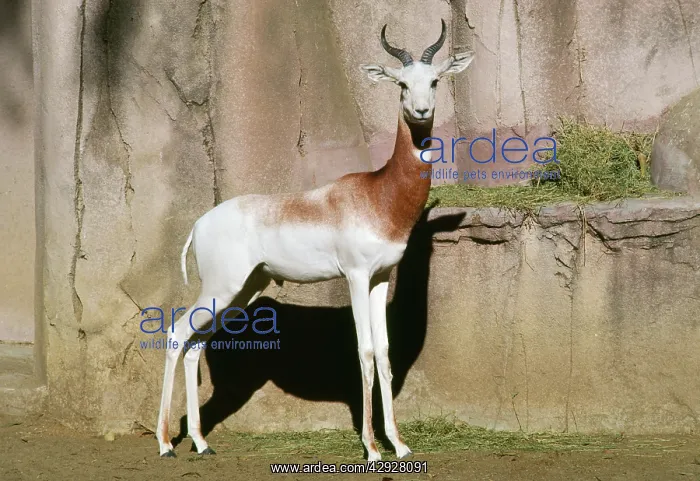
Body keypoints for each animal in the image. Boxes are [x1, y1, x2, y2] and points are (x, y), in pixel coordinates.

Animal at [156, 19, 475, 461]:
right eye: (400, 84)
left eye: (435, 81)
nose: (422, 112)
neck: (379, 194)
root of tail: (199, 224)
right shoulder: (355, 276)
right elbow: (365, 352)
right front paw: (371, 447)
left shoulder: (380, 278)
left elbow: (385, 355)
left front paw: (399, 443)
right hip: (222, 288)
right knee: (176, 334)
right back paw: (166, 443)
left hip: (243, 290)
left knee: (195, 345)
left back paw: (201, 443)